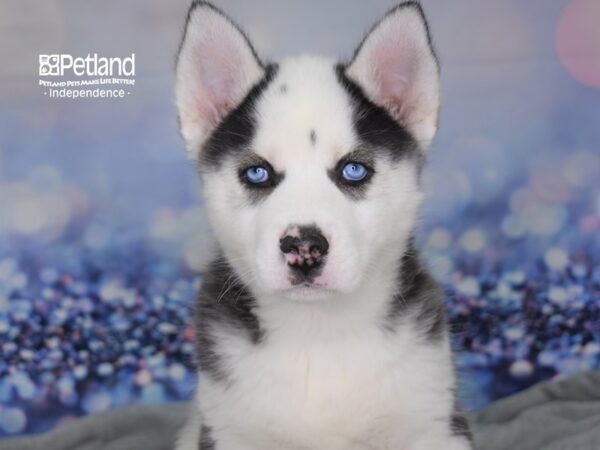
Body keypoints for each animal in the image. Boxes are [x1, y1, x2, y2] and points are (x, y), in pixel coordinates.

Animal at [175, 1, 474, 448]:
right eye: (257, 173)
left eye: (353, 170)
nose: (304, 247)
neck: (317, 333)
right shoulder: (229, 430)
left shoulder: (431, 423)